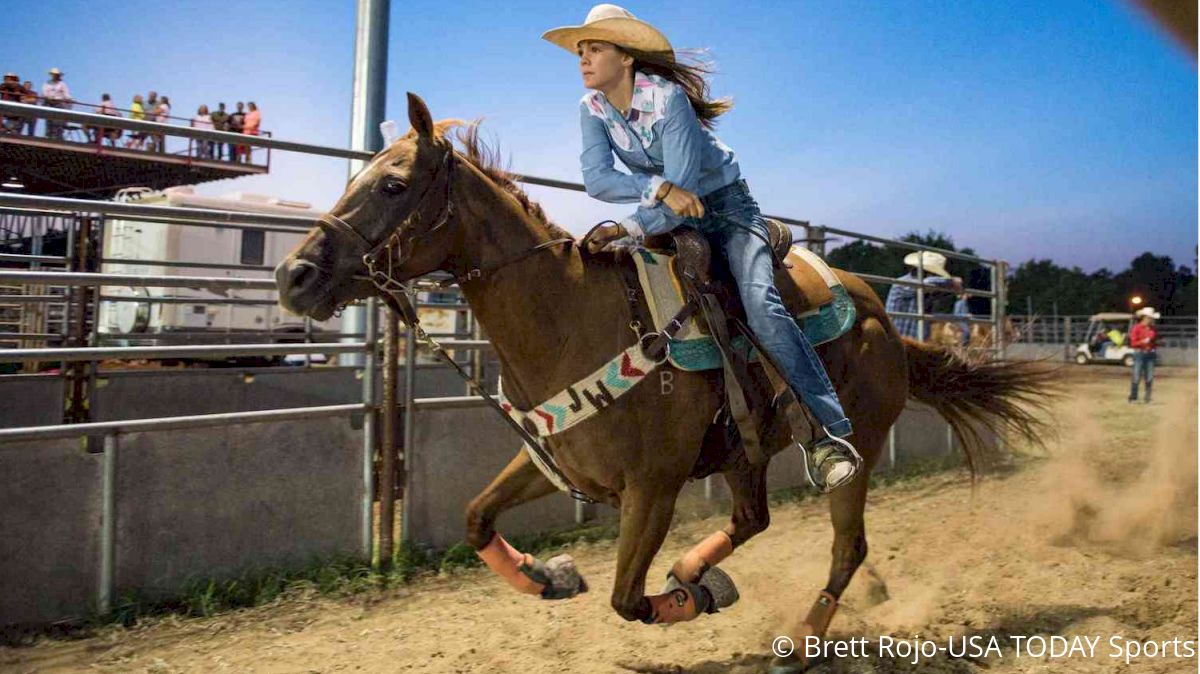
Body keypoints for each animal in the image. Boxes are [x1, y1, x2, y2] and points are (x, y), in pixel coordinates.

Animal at [274, 92, 1051, 666]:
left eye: (393, 184)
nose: (293, 275)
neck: (571, 320)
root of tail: (884, 320)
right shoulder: (554, 459)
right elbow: (475, 518)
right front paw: (551, 576)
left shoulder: (652, 486)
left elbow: (626, 598)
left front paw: (695, 599)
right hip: (744, 449)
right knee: (753, 518)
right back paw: (697, 569)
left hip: (851, 447)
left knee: (847, 547)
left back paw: (797, 638)